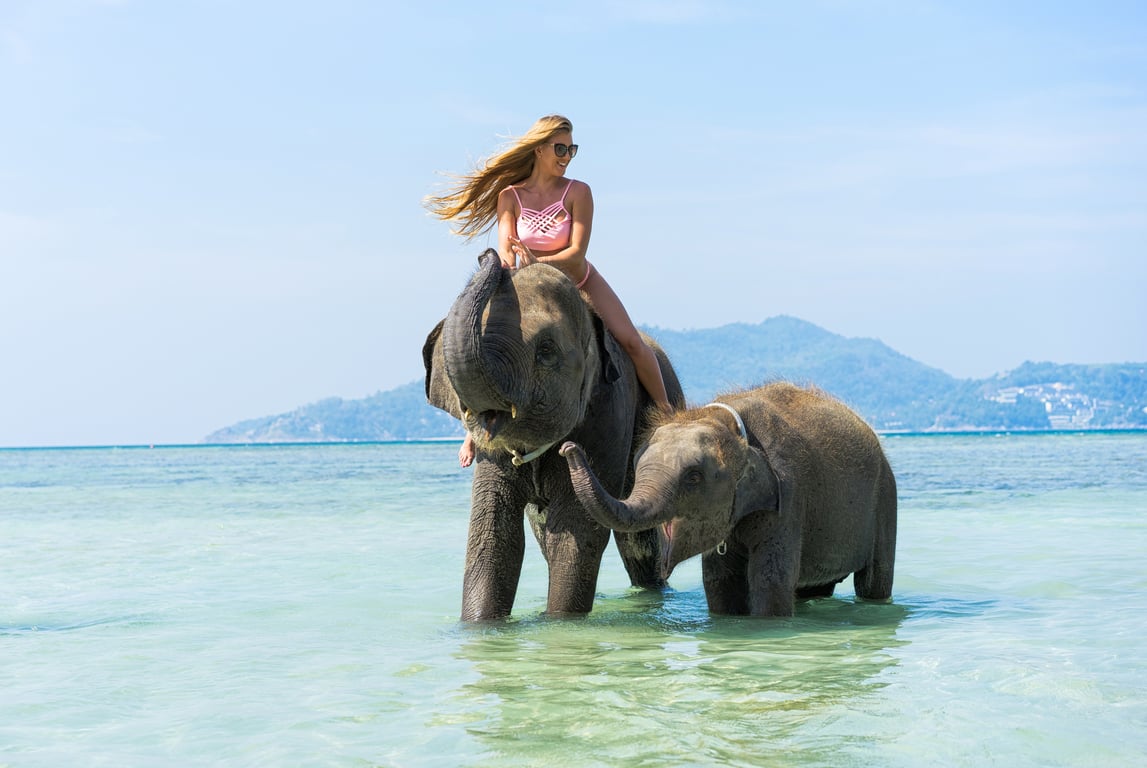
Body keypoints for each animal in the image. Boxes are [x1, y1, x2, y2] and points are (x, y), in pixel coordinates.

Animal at [426, 249, 683, 623]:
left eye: (546, 351)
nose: (488, 254)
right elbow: (493, 533)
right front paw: (480, 626)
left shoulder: (607, 414)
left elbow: (576, 529)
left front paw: (560, 623)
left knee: (637, 540)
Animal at [555, 382, 894, 618]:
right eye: (637, 467)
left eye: (693, 477)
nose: (567, 447)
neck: (726, 422)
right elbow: (720, 580)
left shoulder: (789, 495)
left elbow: (770, 578)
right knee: (814, 587)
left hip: (885, 498)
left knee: (874, 580)